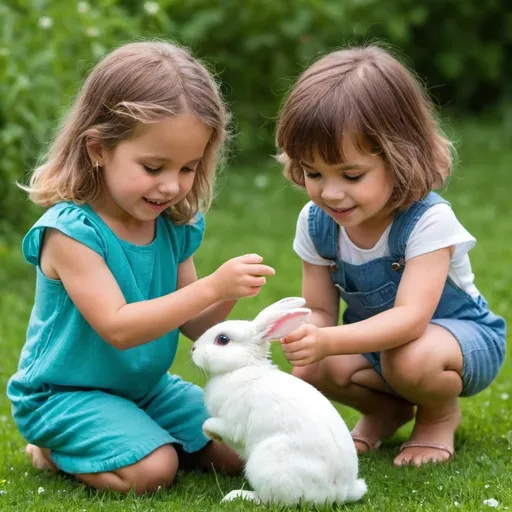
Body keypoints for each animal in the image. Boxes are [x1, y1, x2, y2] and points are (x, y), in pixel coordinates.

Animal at [190, 296, 366, 504]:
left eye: (222, 339)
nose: (193, 349)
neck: (242, 368)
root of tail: (341, 490)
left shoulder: (232, 423)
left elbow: (210, 424)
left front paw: (212, 434)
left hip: (266, 464)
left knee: (272, 500)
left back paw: (236, 495)